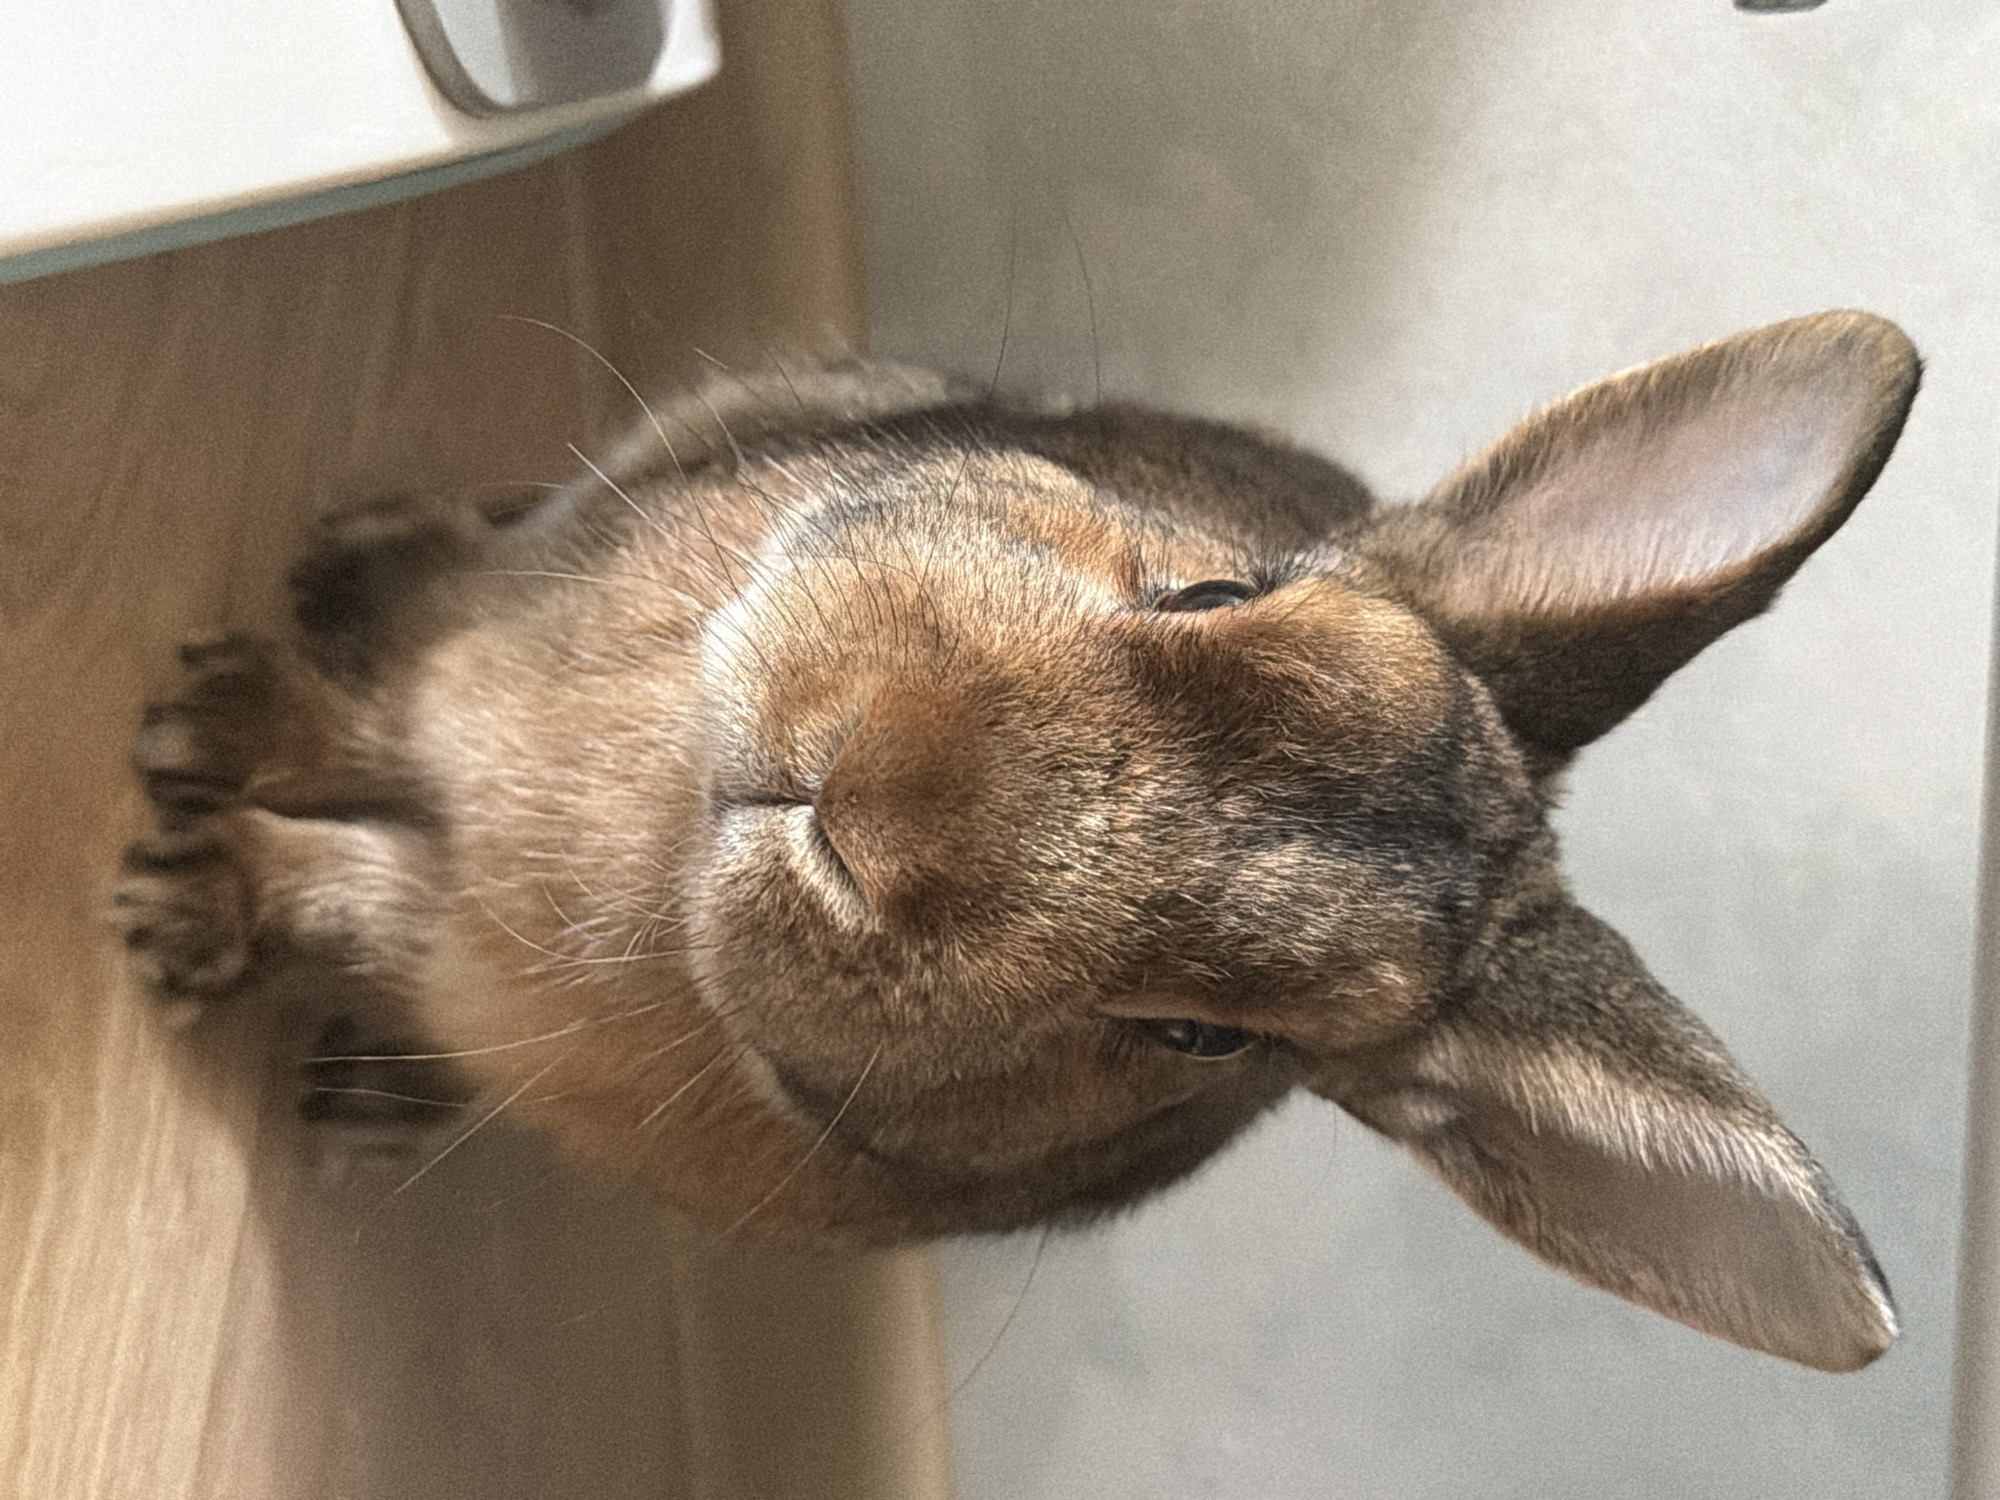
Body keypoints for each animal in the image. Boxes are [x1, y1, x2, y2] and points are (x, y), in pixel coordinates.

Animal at [114, 310, 1918, 1373]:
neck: (669, 845)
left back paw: (360, 1092)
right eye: (1217, 587)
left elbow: (348, 886)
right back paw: (341, 567)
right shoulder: (475, 681)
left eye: (1204, 1037)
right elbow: (375, 724)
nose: (872, 797)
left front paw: (179, 895)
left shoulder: (448, 935)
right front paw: (198, 754)